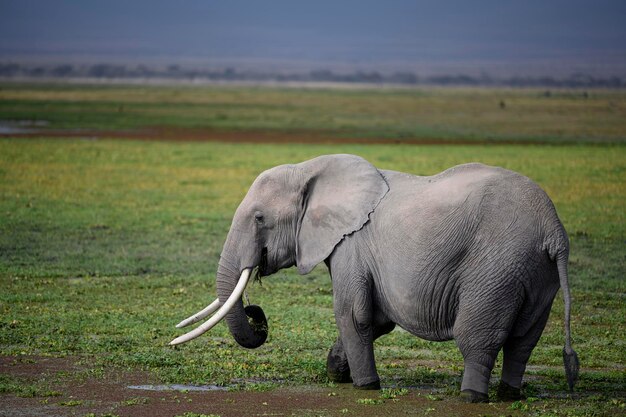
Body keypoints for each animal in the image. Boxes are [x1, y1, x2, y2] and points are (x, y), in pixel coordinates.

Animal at [169, 154, 576, 402]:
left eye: (258, 218)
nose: (256, 312)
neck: (310, 168)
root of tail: (554, 231)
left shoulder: (352, 246)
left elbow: (354, 315)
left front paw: (366, 387)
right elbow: (376, 320)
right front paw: (336, 372)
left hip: (496, 268)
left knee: (478, 336)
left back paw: (472, 396)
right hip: (533, 274)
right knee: (524, 340)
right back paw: (510, 395)